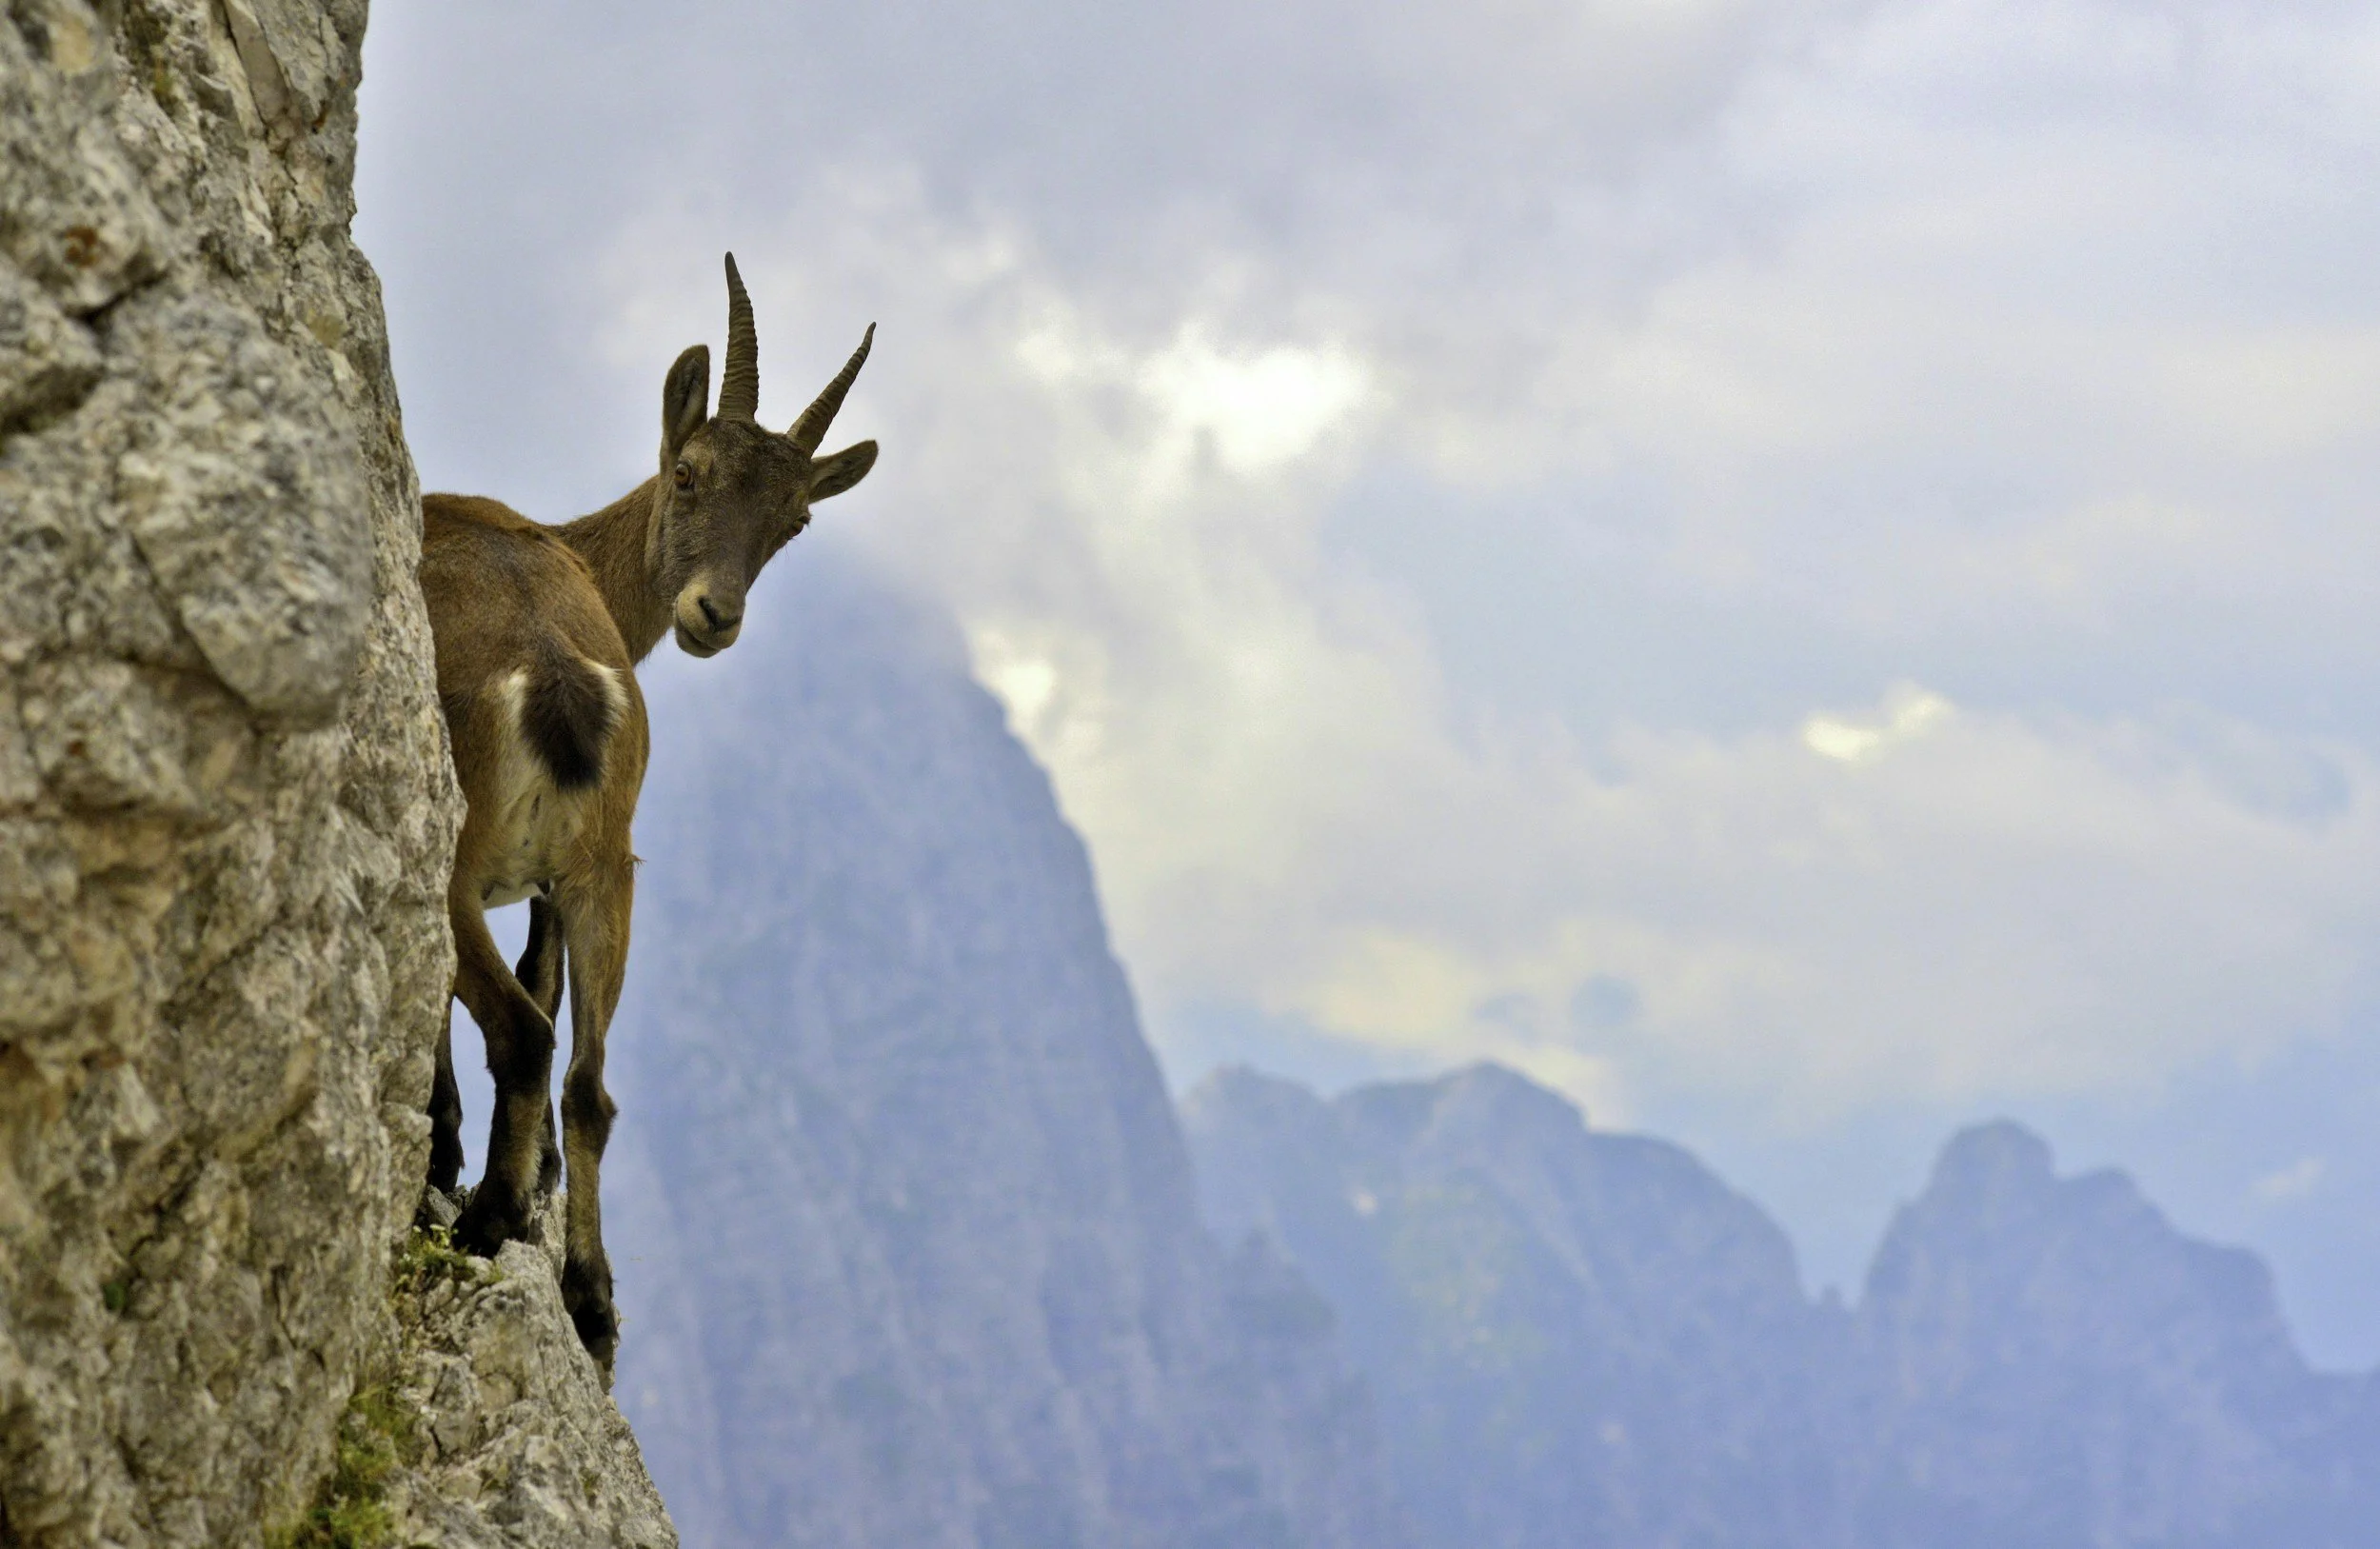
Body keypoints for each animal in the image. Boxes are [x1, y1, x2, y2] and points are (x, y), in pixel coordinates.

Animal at [418, 254, 875, 1375]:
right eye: (690, 475)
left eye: (794, 520)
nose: (715, 614)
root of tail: (553, 676)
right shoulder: (553, 880)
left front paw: (451, 1154)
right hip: (607, 867)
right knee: (589, 1079)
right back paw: (588, 1299)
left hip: (459, 858)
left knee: (523, 1033)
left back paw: (488, 1221)